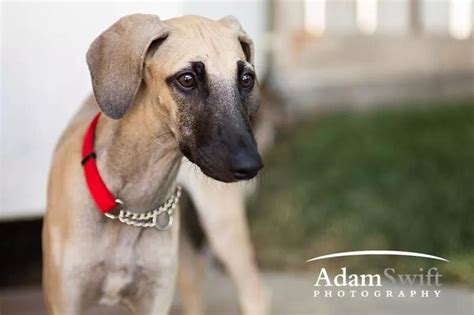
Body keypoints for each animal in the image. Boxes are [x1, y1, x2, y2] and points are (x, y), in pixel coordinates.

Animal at [41, 14, 262, 315]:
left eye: (246, 78)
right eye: (187, 79)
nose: (250, 165)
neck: (130, 205)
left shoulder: (154, 298)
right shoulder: (65, 299)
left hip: (221, 226)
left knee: (254, 290)